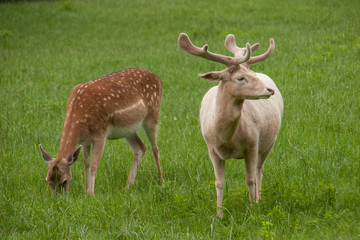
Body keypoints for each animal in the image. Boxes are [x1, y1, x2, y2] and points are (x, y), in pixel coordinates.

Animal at [39, 67, 163, 195]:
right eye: (47, 181)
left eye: (64, 181)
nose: (58, 198)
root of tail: (158, 79)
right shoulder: (85, 140)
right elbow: (86, 163)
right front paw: (86, 191)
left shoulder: (100, 134)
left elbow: (94, 165)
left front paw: (91, 194)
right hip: (128, 129)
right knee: (140, 148)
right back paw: (127, 186)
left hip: (153, 114)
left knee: (155, 148)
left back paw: (161, 181)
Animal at [178, 32, 284, 217]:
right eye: (241, 78)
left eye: (253, 75)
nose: (269, 90)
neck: (226, 139)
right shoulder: (212, 149)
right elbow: (219, 182)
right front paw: (219, 214)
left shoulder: (252, 144)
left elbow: (250, 179)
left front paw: (252, 209)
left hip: (270, 141)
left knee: (259, 169)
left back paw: (259, 199)